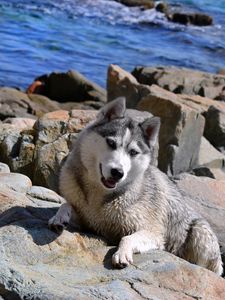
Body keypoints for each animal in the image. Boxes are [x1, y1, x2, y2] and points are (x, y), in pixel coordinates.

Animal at [48, 97, 223, 276]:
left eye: (133, 152)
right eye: (111, 143)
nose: (117, 172)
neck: (101, 193)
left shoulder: (152, 232)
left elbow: (127, 237)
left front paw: (122, 253)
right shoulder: (87, 219)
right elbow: (66, 204)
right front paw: (59, 217)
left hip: (199, 232)